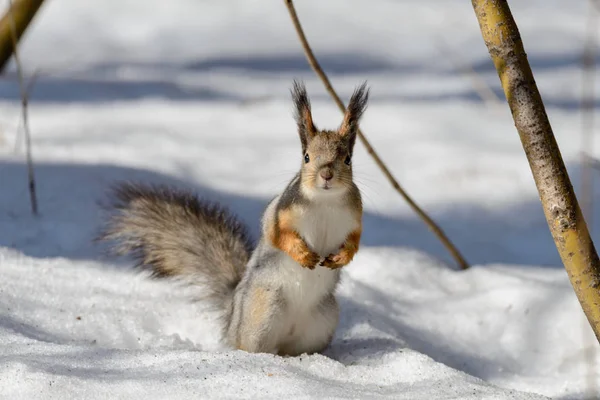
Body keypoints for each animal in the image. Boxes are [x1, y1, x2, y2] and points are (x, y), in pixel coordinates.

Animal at [99, 81, 366, 356]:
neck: (325, 201)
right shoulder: (280, 213)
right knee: (251, 344)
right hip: (263, 311)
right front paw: (303, 254)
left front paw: (342, 257)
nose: (326, 175)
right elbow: (277, 236)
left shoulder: (355, 217)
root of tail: (232, 318)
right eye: (306, 157)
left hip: (322, 320)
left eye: (347, 159)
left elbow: (355, 240)